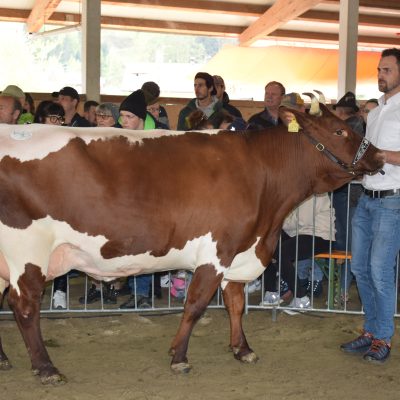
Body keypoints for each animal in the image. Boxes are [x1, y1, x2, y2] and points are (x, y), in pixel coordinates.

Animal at [0, 102, 384, 384]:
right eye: (340, 131)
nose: (380, 157)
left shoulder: (240, 251)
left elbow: (235, 304)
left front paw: (241, 349)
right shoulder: (216, 251)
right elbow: (196, 304)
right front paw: (180, 356)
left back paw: (5, 361)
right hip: (27, 251)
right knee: (24, 306)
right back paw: (46, 368)